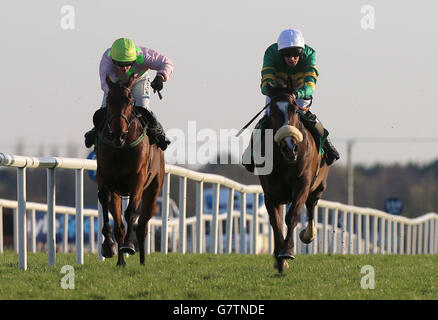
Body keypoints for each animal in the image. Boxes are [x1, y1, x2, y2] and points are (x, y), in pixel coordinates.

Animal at [96, 74, 165, 266]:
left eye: (130, 101)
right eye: (109, 100)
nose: (118, 135)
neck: (121, 148)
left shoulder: (138, 180)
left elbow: (131, 211)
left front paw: (129, 244)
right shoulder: (104, 177)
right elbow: (105, 200)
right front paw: (108, 245)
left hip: (153, 190)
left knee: (142, 225)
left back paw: (142, 261)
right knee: (120, 225)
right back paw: (121, 262)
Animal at [256, 80, 328, 272]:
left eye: (295, 110)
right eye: (273, 110)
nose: (290, 147)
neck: (284, 159)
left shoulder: (302, 184)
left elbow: (293, 216)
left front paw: (287, 251)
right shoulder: (270, 192)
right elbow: (275, 221)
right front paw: (279, 259)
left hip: (319, 186)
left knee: (311, 206)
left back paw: (308, 235)